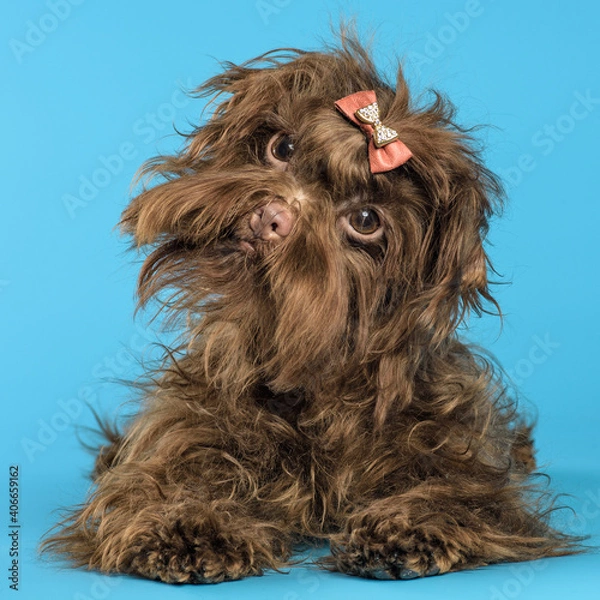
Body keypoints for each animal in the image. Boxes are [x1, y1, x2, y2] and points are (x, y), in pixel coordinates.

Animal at [41, 31, 576, 580]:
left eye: (366, 220)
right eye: (283, 147)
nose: (271, 215)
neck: (307, 379)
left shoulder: (460, 459)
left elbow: (461, 496)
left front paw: (407, 526)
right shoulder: (186, 432)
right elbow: (164, 483)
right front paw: (188, 525)